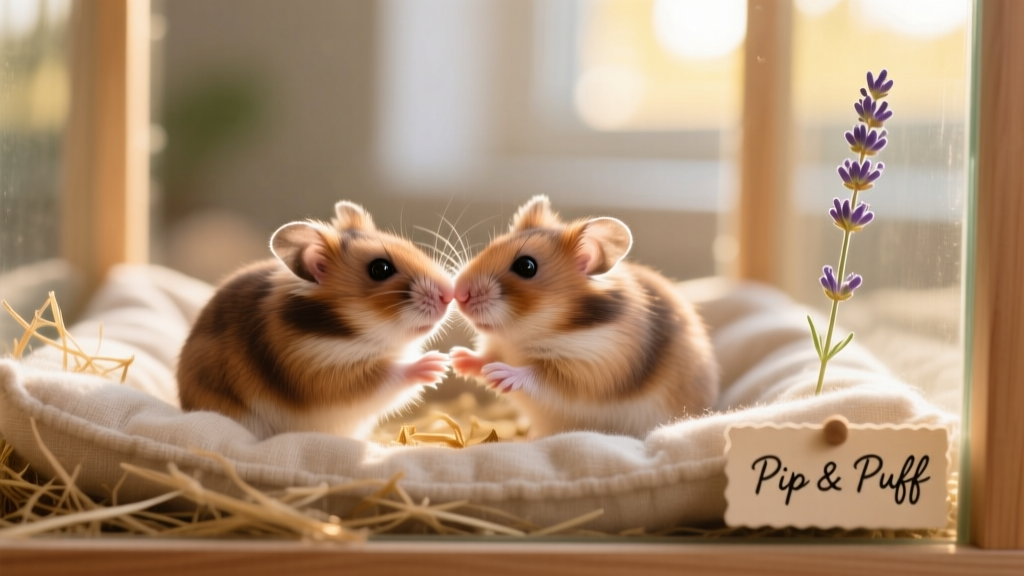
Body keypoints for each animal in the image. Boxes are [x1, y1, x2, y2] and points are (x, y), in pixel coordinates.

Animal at [177, 201, 454, 439]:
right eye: (380, 269)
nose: (449, 294)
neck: (353, 333)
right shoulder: (321, 374)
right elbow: (387, 376)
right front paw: (438, 365)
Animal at [450, 196, 718, 438]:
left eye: (526, 266)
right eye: (491, 246)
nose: (458, 293)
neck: (524, 333)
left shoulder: (594, 368)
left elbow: (541, 375)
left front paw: (499, 374)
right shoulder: (498, 345)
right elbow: (485, 357)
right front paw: (458, 359)